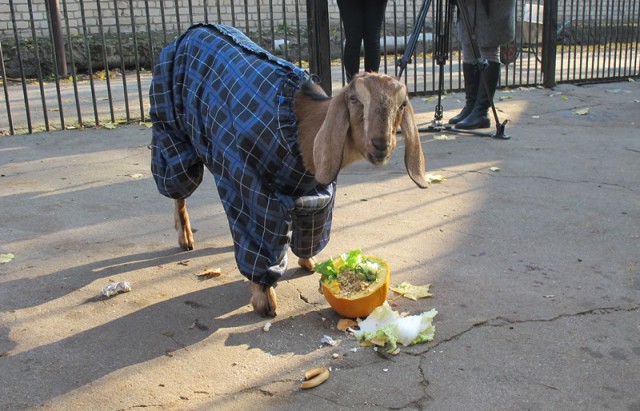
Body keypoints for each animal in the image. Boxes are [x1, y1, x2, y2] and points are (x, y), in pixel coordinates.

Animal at [149, 23, 428, 318]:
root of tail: (188, 32)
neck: (300, 130)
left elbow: (312, 228)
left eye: (402, 104)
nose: (381, 144)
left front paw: (309, 262)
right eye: (354, 99)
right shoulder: (251, 186)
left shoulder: (319, 191)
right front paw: (264, 300)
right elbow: (261, 240)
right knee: (178, 188)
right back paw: (185, 238)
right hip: (171, 131)